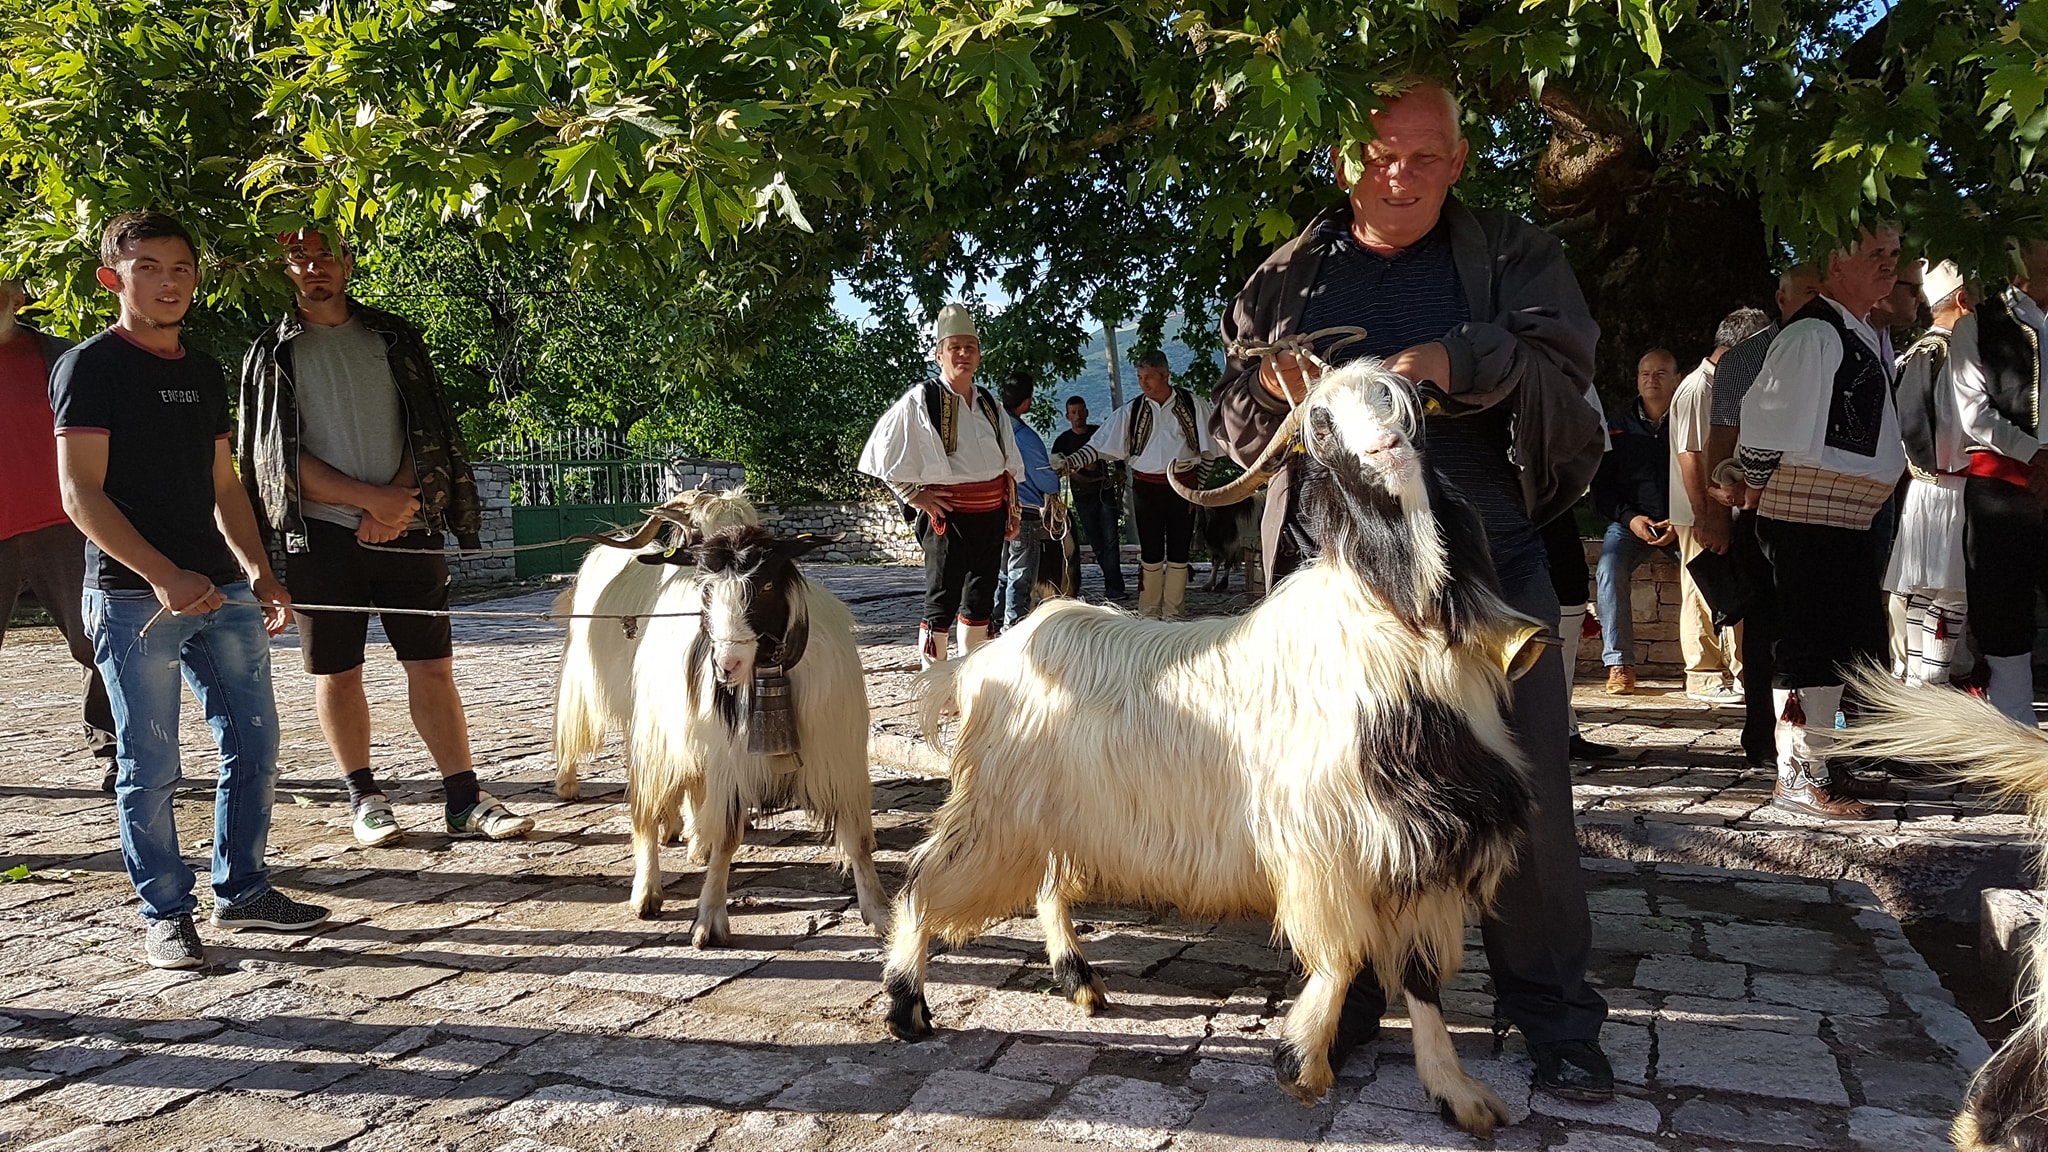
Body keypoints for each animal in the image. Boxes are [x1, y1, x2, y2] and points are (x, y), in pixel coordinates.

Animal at [628, 525, 891, 945]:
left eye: (766, 584)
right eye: (707, 589)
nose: (727, 665)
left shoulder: (841, 761)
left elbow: (858, 840)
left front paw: (879, 913)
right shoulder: (729, 766)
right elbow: (725, 840)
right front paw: (709, 920)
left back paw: (695, 847)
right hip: (657, 740)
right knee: (648, 813)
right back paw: (647, 893)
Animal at [879, 359, 1547, 1139]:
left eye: (1408, 407)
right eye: (1319, 427)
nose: (1388, 453)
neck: (1394, 626)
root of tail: (988, 659)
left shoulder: (1421, 848)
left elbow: (1416, 976)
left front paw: (1456, 1093)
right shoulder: (1327, 843)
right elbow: (1345, 951)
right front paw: (1302, 1059)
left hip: (1056, 813)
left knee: (1046, 886)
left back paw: (1080, 981)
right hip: (997, 810)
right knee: (924, 880)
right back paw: (907, 1007)